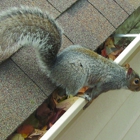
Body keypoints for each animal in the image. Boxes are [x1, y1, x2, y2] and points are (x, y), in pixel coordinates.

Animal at [0, 6, 140, 107]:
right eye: (136, 81)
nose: (139, 90)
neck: (121, 75)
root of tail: (54, 68)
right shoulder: (107, 83)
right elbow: (96, 91)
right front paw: (90, 97)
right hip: (77, 76)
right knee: (70, 94)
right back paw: (81, 95)